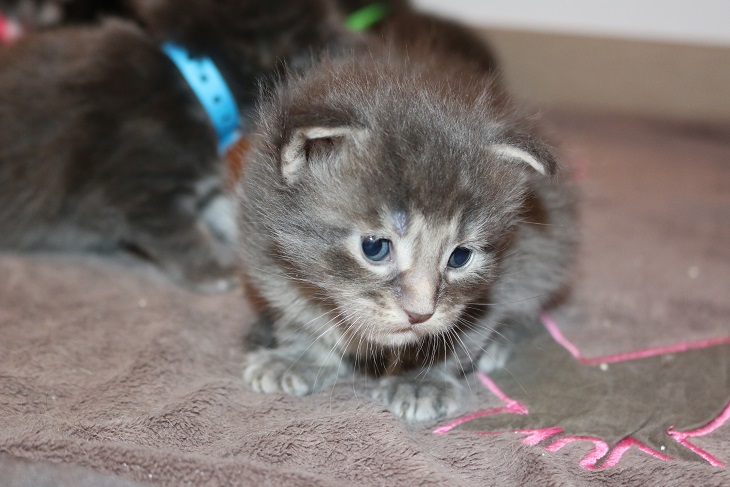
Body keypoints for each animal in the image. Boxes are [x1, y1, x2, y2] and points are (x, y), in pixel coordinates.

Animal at [0, 0, 354, 292]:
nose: (357, 44)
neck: (199, 86)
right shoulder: (140, 189)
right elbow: (183, 234)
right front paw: (213, 271)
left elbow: (226, 205)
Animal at [238, 1, 578, 422]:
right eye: (375, 248)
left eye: (460, 256)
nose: (420, 314)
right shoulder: (266, 253)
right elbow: (300, 316)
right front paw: (298, 356)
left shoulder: (513, 266)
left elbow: (460, 332)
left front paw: (420, 379)